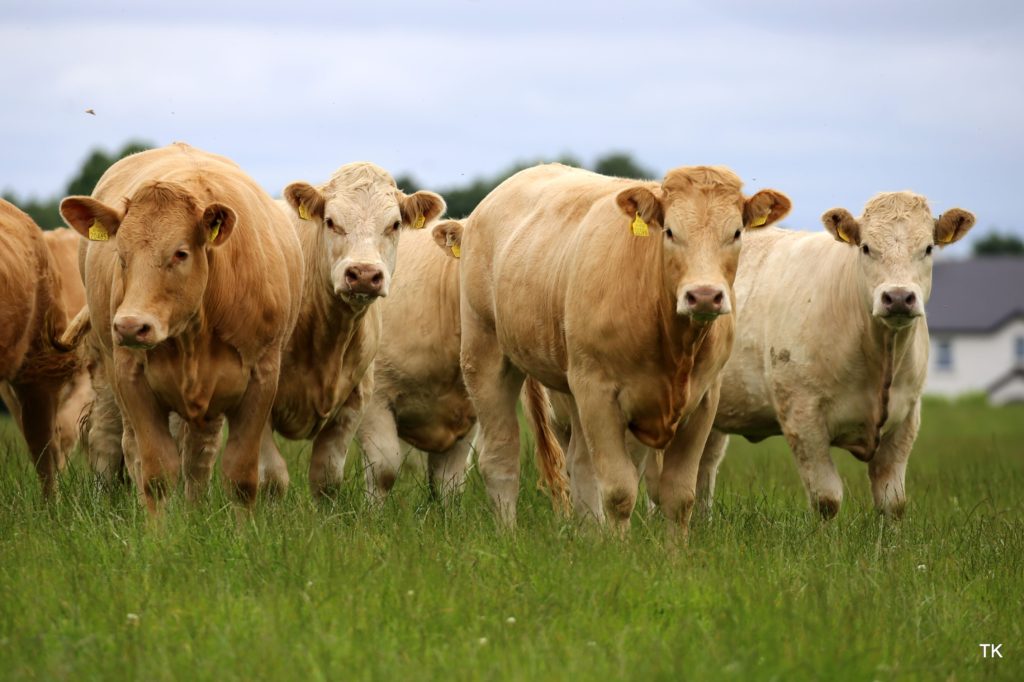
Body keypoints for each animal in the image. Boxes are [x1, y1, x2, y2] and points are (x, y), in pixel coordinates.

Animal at [60, 142, 303, 512]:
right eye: (121, 254)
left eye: (180, 253)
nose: (130, 326)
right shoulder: (133, 380)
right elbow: (156, 472)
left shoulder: (262, 379)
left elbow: (241, 477)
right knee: (127, 446)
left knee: (198, 455)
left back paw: (195, 509)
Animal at [257, 163, 446, 498]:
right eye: (331, 221)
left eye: (395, 224)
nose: (364, 274)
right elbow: (273, 477)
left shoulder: (354, 401)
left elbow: (327, 477)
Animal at [458, 163, 791, 533]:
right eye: (670, 232)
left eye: (735, 233)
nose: (704, 295)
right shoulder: (599, 393)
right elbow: (619, 491)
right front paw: (619, 547)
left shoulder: (704, 399)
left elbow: (680, 496)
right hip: (485, 353)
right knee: (500, 456)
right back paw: (509, 533)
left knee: (580, 465)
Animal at [694, 192, 975, 518]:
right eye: (866, 247)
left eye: (928, 248)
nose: (898, 297)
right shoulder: (801, 414)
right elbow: (827, 499)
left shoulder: (907, 417)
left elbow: (892, 503)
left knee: (704, 464)